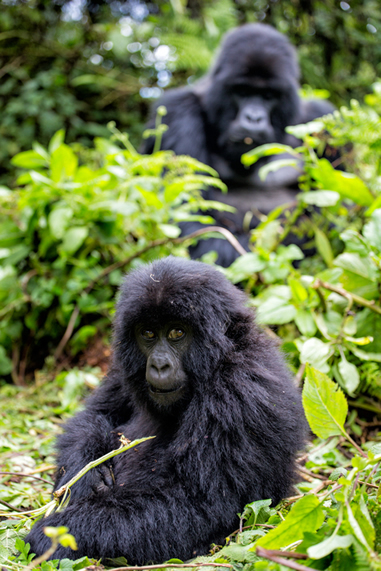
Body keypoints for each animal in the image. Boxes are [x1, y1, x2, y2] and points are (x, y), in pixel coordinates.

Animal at [26, 258, 306, 564]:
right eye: (148, 333)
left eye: (177, 333)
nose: (159, 365)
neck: (223, 354)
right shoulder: (122, 370)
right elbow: (94, 415)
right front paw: (85, 470)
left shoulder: (240, 391)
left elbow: (198, 506)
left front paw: (55, 534)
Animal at [141, 24, 334, 268]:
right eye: (242, 92)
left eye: (268, 95)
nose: (253, 118)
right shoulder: (178, 111)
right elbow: (188, 218)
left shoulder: (322, 118)